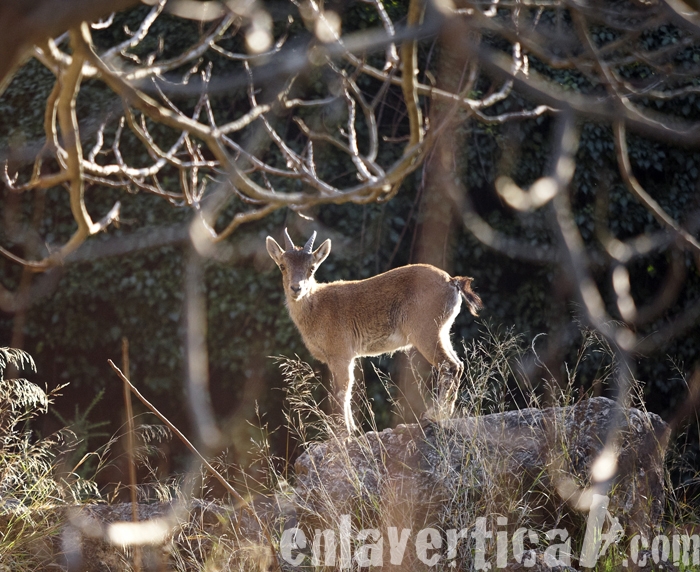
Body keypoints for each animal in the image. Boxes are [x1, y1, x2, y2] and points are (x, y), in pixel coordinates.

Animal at [266, 229, 483, 433]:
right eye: (282, 266)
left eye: (312, 268)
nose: (296, 288)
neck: (317, 308)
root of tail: (453, 282)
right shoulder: (338, 358)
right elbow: (342, 389)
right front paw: (352, 429)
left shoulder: (341, 353)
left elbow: (342, 390)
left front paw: (344, 432)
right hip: (442, 331)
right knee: (458, 364)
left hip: (426, 330)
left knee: (449, 365)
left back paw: (434, 415)